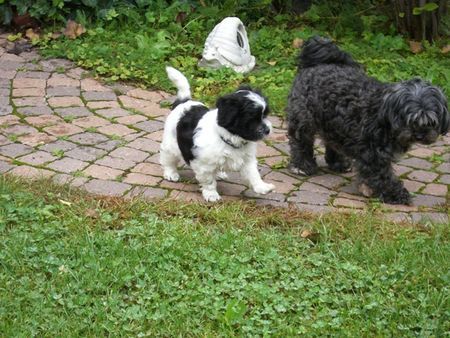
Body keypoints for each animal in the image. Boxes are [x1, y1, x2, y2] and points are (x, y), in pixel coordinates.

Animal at [161, 67, 274, 202]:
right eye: (252, 118)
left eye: (265, 115)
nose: (267, 130)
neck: (230, 138)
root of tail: (184, 101)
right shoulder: (204, 164)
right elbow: (209, 181)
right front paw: (211, 194)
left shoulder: (247, 160)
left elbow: (253, 174)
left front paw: (262, 187)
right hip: (171, 143)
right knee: (168, 159)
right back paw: (171, 173)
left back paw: (220, 173)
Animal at [286, 37, 448, 206]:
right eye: (411, 119)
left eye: (431, 121)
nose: (420, 135)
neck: (386, 113)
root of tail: (317, 64)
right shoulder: (374, 154)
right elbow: (383, 177)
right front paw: (395, 194)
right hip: (304, 121)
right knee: (301, 143)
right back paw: (302, 166)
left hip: (334, 124)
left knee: (332, 142)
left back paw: (338, 163)